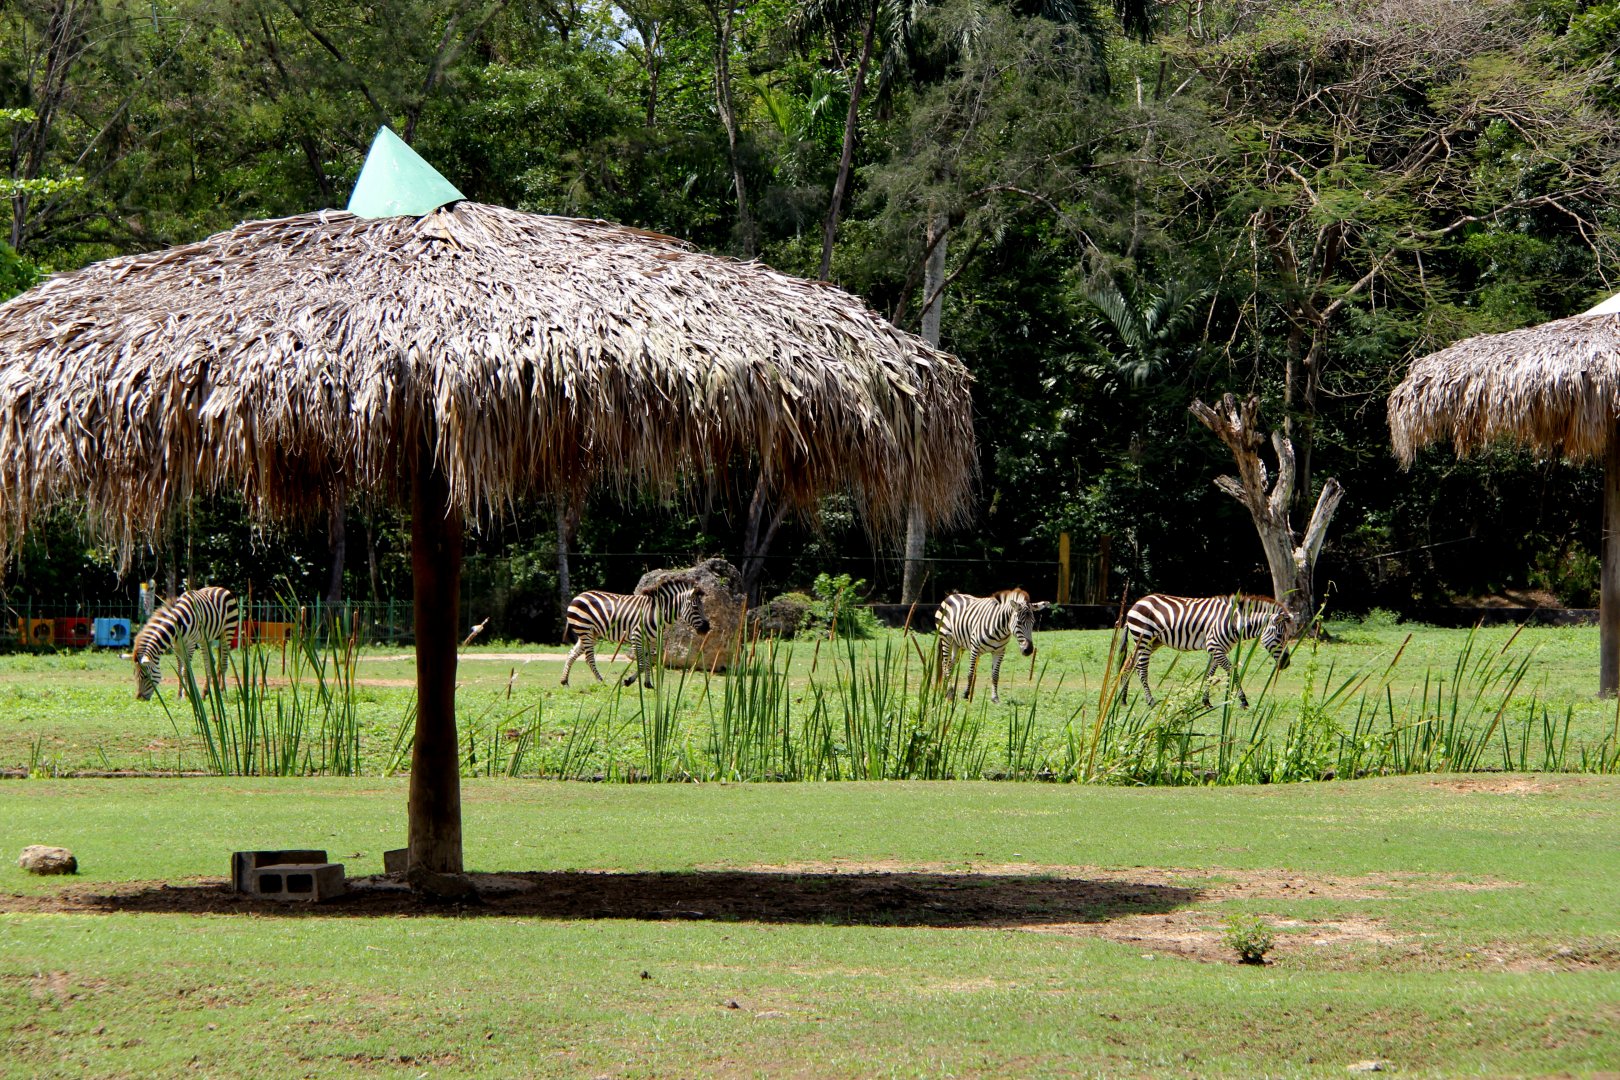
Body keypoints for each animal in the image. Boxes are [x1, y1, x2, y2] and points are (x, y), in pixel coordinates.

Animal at [561, 578, 711, 688]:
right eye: (695, 607)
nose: (707, 628)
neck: (656, 613)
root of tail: (579, 596)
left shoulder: (652, 641)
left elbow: (648, 663)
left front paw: (648, 684)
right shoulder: (637, 637)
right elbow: (641, 664)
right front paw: (629, 681)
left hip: (592, 634)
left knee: (572, 654)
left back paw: (564, 681)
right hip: (585, 630)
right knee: (589, 658)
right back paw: (601, 681)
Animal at [1120, 593, 1294, 709]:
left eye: (1287, 637)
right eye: (1280, 636)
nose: (1286, 663)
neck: (1234, 622)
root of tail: (1137, 603)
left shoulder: (1217, 649)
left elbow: (1210, 674)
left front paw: (1206, 701)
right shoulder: (1215, 647)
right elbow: (1233, 671)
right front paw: (1243, 700)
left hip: (1153, 642)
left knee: (1129, 665)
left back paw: (1122, 698)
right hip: (1144, 638)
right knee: (1141, 670)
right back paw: (1151, 701)